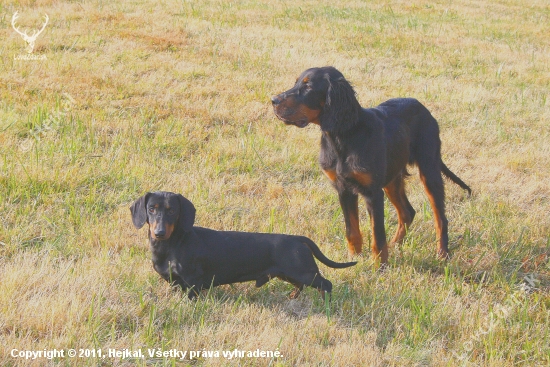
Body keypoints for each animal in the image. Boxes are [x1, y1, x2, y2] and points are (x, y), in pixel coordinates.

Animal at [130, 191, 358, 300]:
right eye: (151, 209)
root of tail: (297, 238)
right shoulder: (176, 282)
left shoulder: (193, 281)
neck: (171, 245)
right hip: (290, 274)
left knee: (326, 284)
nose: (159, 233)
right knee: (300, 286)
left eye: (172, 211)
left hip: (305, 272)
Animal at [274, 66, 472, 266]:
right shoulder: (343, 189)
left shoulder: (372, 192)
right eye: (296, 82)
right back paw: (395, 244)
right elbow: (352, 230)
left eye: (308, 87)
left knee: (440, 218)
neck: (344, 135)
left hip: (429, 170)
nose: (273, 100)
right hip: (392, 177)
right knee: (407, 212)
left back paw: (442, 254)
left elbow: (377, 234)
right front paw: (354, 259)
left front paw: (380, 266)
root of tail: (424, 109)